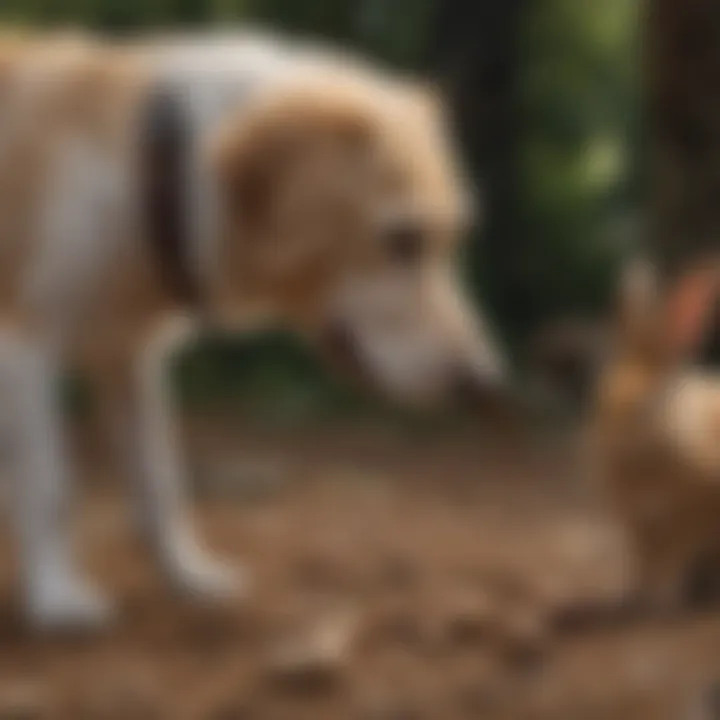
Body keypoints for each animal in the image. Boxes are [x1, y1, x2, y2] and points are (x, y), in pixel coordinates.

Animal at [0, 28, 506, 628]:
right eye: (402, 239)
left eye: (453, 240)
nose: (485, 383)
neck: (146, 170)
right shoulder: (26, 344)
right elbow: (51, 485)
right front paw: (56, 597)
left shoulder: (128, 357)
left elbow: (159, 482)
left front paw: (187, 576)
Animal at [592, 256, 720, 612]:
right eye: (601, 392)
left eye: (654, 397)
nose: (613, 435)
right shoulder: (638, 529)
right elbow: (645, 564)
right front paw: (634, 598)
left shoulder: (692, 517)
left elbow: (672, 558)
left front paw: (661, 602)